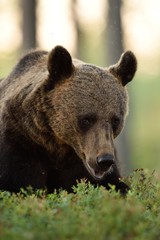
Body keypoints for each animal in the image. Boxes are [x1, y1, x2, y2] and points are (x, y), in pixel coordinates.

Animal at [0, 46, 137, 194]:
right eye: (87, 119)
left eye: (115, 120)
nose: (104, 160)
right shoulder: (20, 144)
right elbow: (18, 184)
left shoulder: (79, 165)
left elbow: (114, 185)